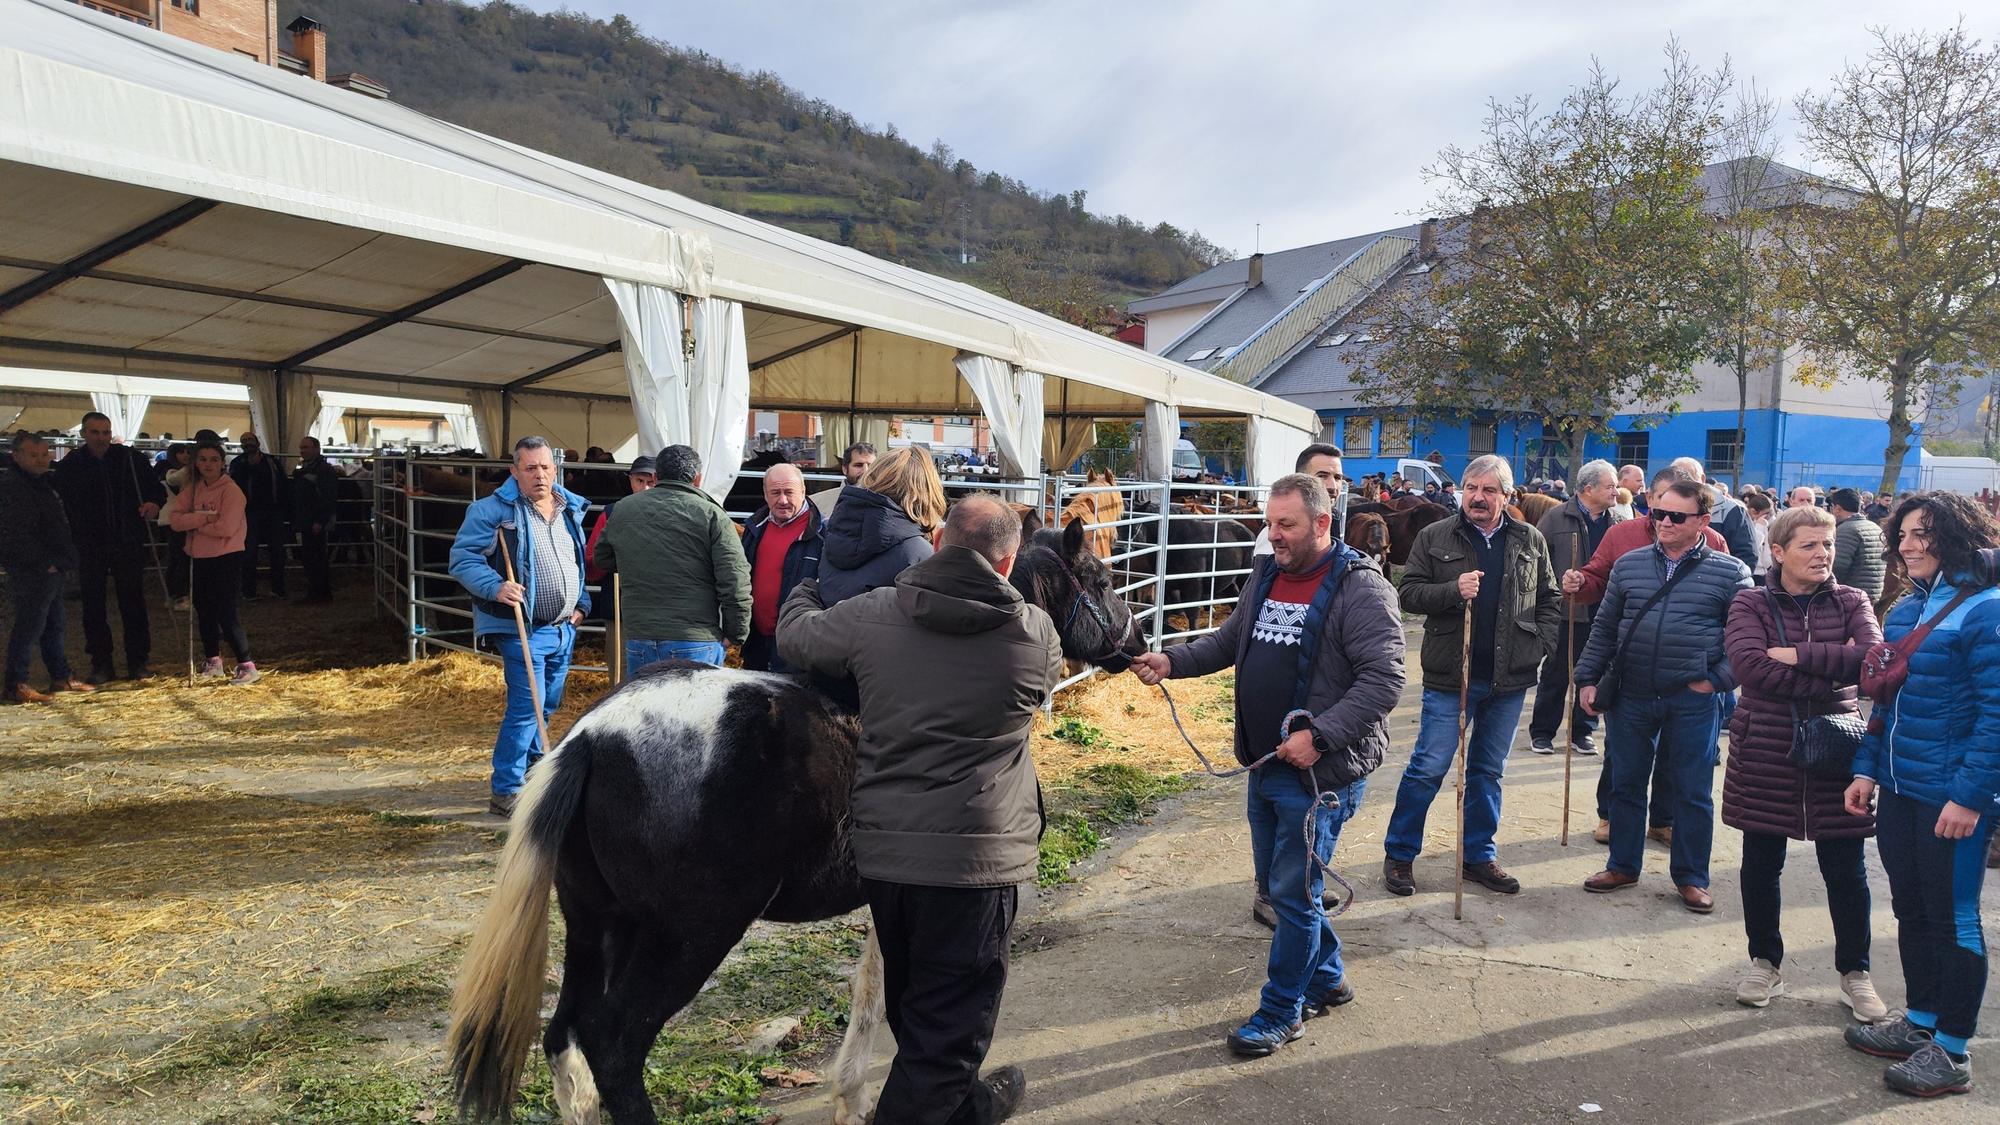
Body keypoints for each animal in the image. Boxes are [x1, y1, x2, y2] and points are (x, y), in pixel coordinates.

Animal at [450, 520, 1144, 1120]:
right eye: (1102, 579)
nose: (1138, 646)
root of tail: (593, 740)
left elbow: (874, 989)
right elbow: (903, 1004)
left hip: (597, 922)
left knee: (565, 1042)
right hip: (688, 936)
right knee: (613, 1044)